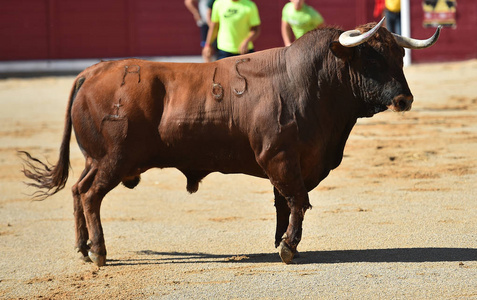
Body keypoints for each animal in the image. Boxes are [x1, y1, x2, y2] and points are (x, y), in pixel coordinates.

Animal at [21, 19, 438, 268]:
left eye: (400, 54)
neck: (311, 83)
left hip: (95, 159)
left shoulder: (288, 163)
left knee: (77, 190)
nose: (404, 99)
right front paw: (288, 248)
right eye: (370, 56)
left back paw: (82, 248)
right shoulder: (280, 157)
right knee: (91, 196)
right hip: (114, 159)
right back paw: (99, 253)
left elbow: (284, 203)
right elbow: (298, 200)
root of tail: (96, 69)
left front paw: (284, 242)